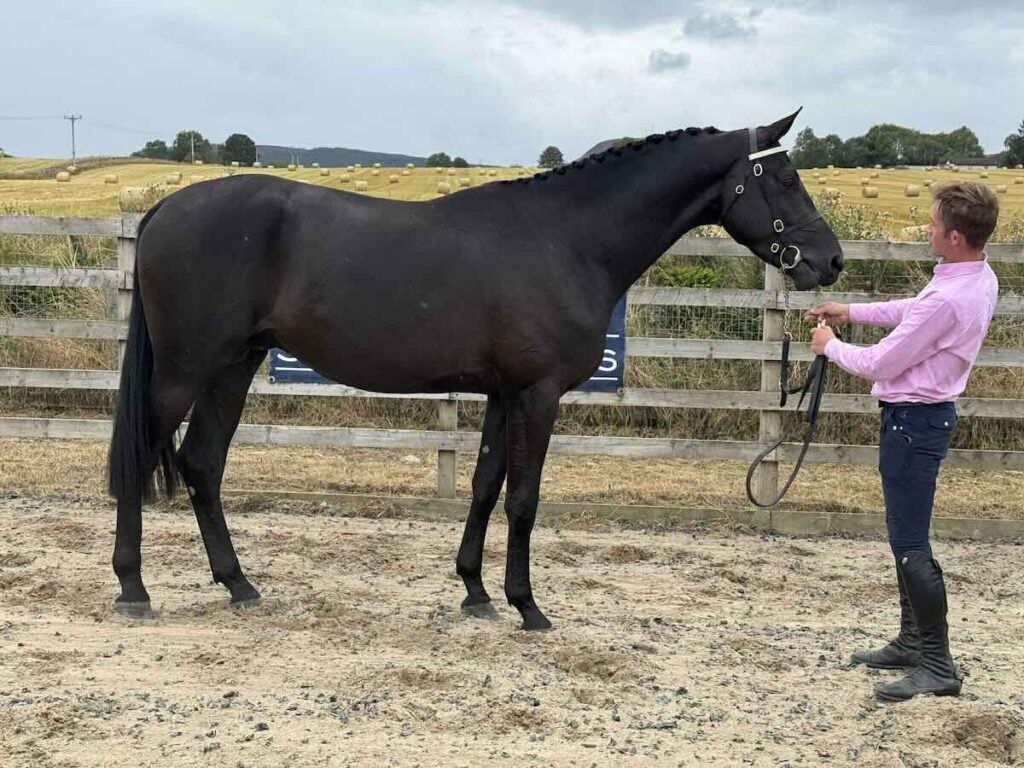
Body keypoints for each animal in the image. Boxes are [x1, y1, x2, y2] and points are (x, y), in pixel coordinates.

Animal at [107, 110, 843, 630]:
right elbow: (524, 497)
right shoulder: (537, 396)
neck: (565, 239)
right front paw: (528, 606)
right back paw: (133, 587)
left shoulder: (500, 393)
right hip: (185, 371)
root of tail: (165, 209)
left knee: (202, 464)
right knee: (145, 454)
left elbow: (486, 486)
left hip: (234, 366)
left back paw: (239, 584)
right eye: (783, 179)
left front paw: (476, 592)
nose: (830, 261)